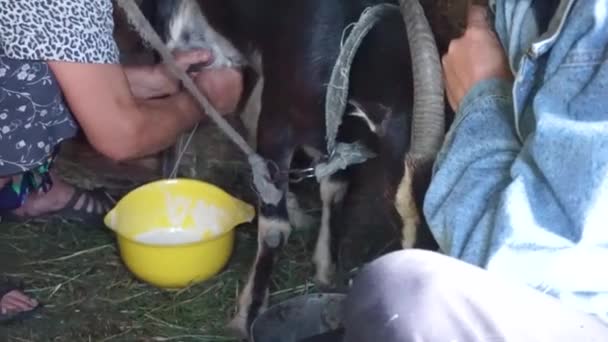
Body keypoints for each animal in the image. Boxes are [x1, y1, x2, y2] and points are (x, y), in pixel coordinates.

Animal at [140, 0, 448, 336]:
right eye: (392, 203)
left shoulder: (340, 135)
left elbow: (335, 191)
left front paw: (325, 269)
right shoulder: (278, 124)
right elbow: (274, 229)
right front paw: (246, 317)